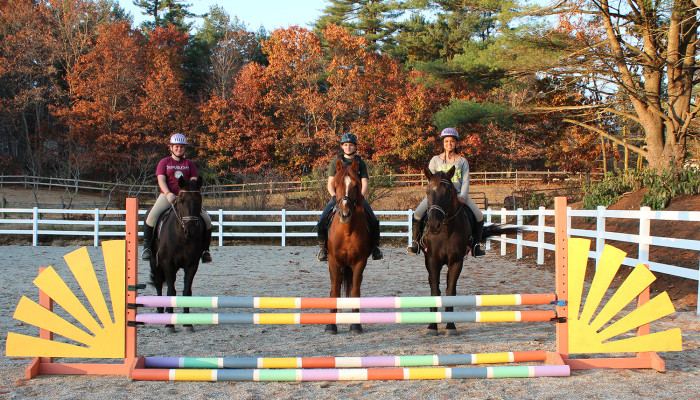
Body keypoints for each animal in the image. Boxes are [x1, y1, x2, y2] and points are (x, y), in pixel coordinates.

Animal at [148, 177, 202, 332]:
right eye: (181, 200)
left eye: (199, 200)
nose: (191, 230)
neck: (182, 237)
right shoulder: (168, 264)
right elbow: (171, 291)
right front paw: (169, 325)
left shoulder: (192, 265)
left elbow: (186, 292)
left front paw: (188, 324)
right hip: (154, 262)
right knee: (159, 283)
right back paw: (161, 311)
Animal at [326, 159, 372, 334]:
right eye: (336, 184)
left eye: (356, 185)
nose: (344, 213)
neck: (347, 231)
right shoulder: (333, 261)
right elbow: (334, 290)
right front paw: (331, 325)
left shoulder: (359, 263)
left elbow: (355, 291)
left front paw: (355, 324)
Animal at [422, 165, 520, 334]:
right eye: (428, 191)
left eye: (447, 192)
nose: (433, 225)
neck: (445, 231)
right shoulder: (433, 261)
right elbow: (435, 291)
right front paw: (432, 326)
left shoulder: (456, 262)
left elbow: (450, 291)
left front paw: (450, 326)